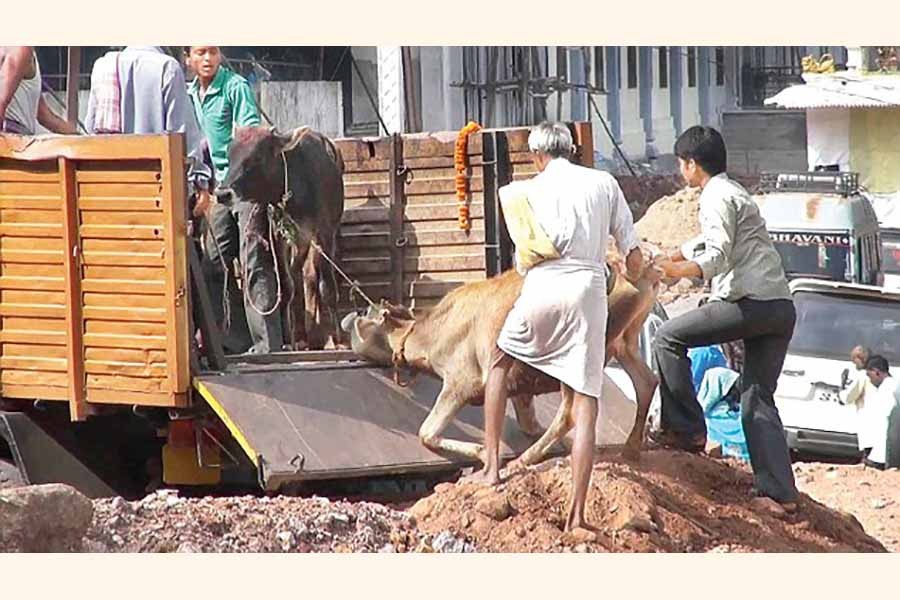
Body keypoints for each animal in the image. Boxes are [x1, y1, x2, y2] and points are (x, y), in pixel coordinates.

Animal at [218, 127, 344, 352]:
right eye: (229, 155)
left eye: (257, 156)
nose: (223, 193)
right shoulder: (278, 238)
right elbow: (286, 287)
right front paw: (287, 341)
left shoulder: (324, 233)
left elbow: (327, 286)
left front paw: (338, 339)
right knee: (299, 277)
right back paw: (302, 335)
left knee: (311, 277)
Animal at [344, 255, 660, 472]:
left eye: (368, 315)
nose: (349, 319)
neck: (427, 336)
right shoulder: (520, 386)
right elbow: (530, 424)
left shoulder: (461, 383)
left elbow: (427, 432)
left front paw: (483, 452)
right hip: (624, 343)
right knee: (647, 382)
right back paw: (630, 449)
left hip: (576, 358)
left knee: (570, 413)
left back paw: (524, 460)